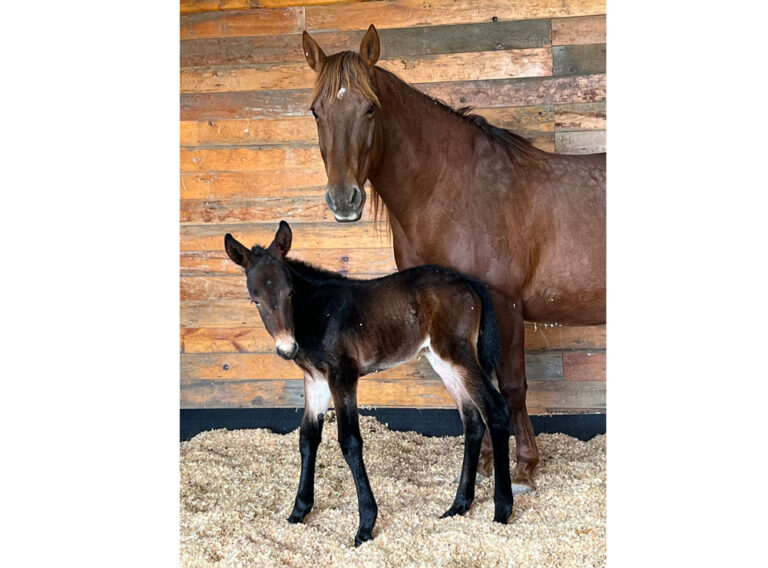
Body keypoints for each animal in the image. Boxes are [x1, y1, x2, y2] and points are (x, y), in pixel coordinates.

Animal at [224, 221, 514, 546]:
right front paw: (299, 511)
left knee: (495, 410)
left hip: (459, 354)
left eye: (289, 293)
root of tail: (468, 282)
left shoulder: (343, 375)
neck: (316, 313)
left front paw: (365, 524)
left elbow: (350, 441)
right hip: (442, 361)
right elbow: (308, 437)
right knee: (472, 419)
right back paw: (459, 505)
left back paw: (502, 509)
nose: (287, 348)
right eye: (255, 299)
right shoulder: (315, 380)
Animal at [300, 25, 606, 491]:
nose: (343, 200)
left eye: (370, 108)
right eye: (316, 111)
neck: (453, 191)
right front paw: (485, 463)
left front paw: (523, 468)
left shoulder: (504, 303)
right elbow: (472, 389)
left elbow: (511, 385)